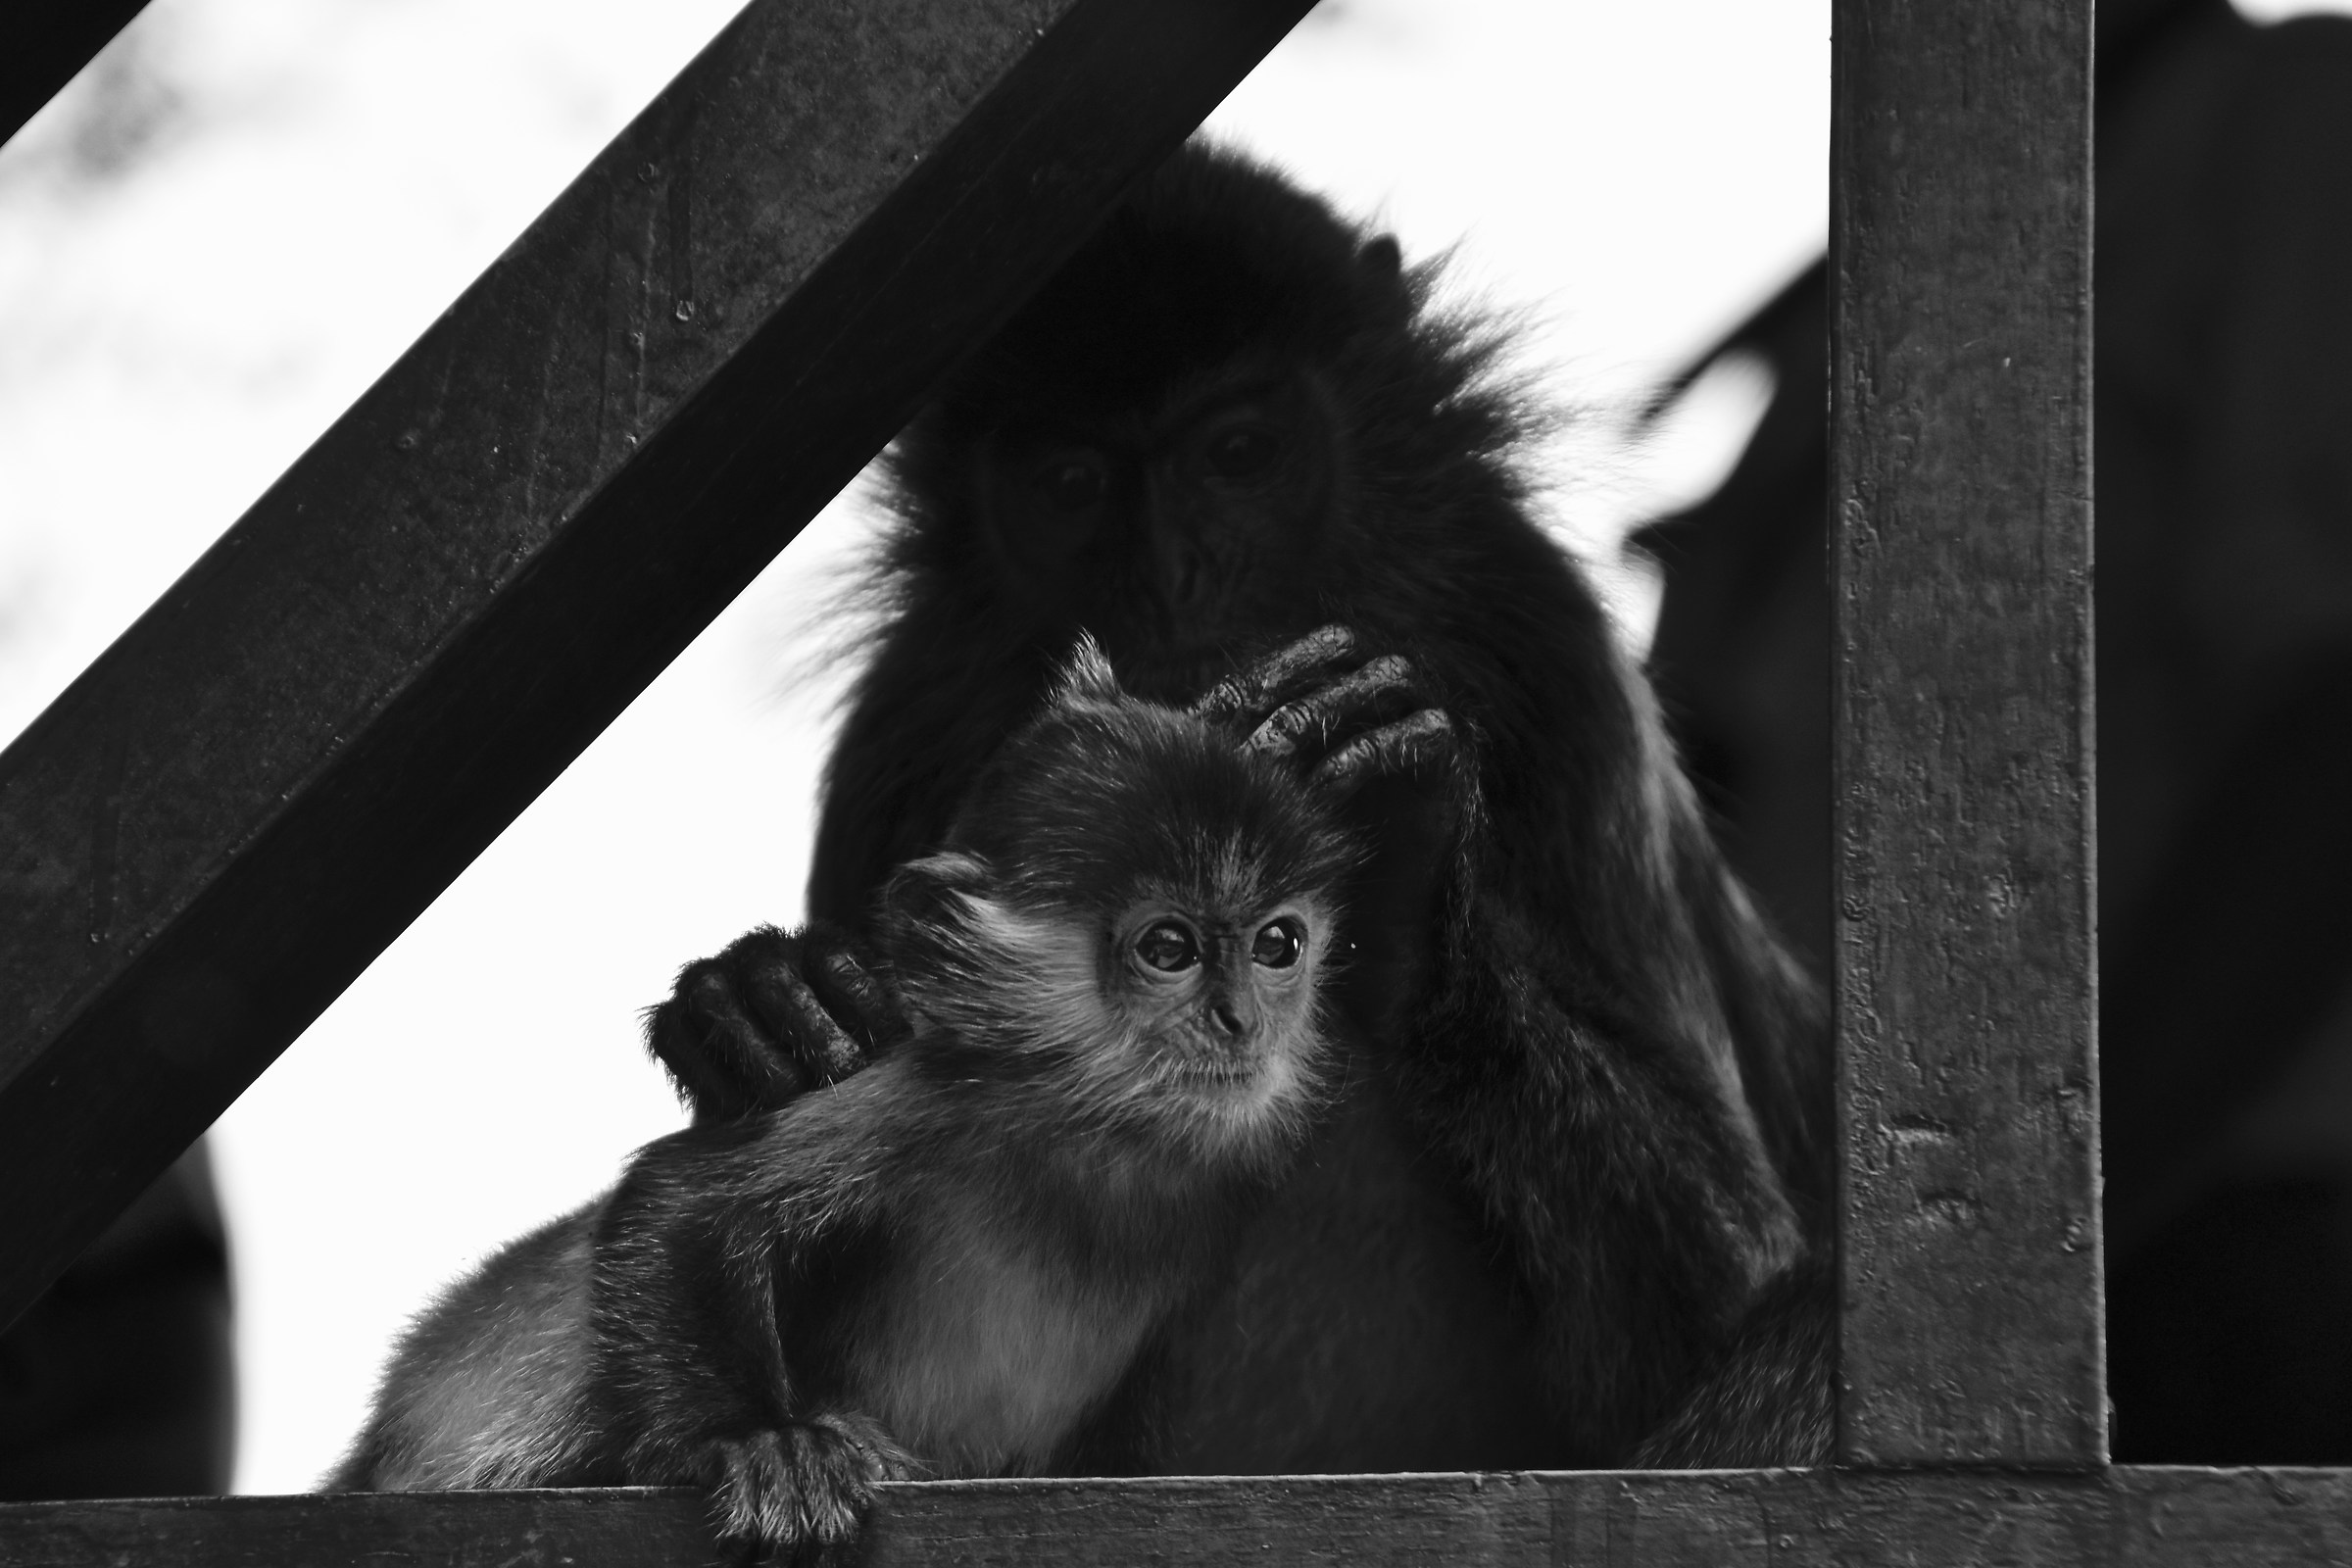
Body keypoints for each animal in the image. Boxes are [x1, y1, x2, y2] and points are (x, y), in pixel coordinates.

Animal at [334, 639, 1407, 1556]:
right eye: (1170, 949)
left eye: (1278, 944)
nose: (1240, 1020)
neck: (1107, 1136)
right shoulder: (939, 1093)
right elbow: (682, 1199)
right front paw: (754, 1439)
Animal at [648, 140, 1835, 1470]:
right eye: (1070, 484)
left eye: (1239, 455)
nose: (1175, 579)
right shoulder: (901, 724)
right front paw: (773, 1006)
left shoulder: (1553, 656)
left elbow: (1727, 1287)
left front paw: (1414, 868)